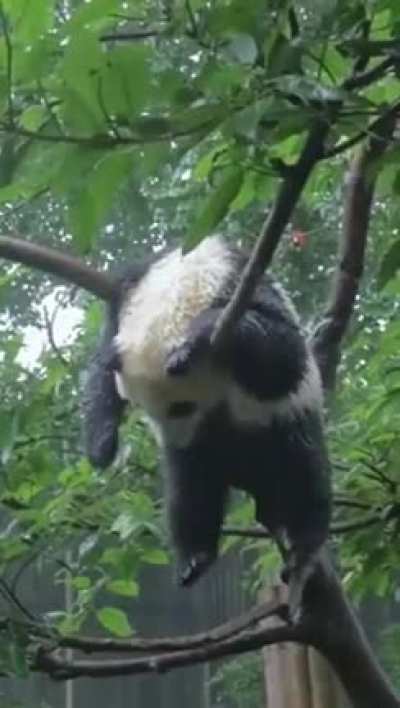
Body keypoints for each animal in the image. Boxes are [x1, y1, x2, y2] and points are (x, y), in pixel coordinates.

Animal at [85, 235, 331, 595]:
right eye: (141, 407)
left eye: (181, 406)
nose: (177, 438)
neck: (181, 286)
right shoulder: (128, 292)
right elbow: (100, 368)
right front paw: (101, 445)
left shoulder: (244, 285)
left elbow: (284, 355)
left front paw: (202, 333)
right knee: (189, 494)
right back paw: (194, 559)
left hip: (282, 425)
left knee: (302, 472)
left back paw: (303, 546)